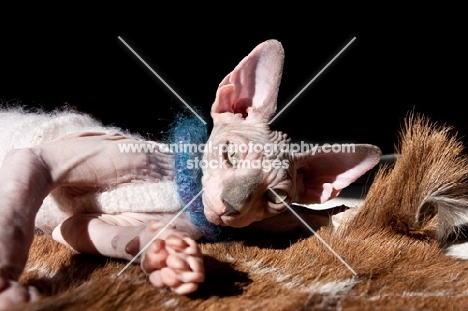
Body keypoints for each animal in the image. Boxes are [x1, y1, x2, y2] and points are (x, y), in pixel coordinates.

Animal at [0, 39, 380, 310]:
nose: (230, 206)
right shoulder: (39, 155)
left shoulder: (77, 226)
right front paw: (8, 287)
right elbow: (15, 220)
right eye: (230, 154)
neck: (181, 191)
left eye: (275, 196)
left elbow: (91, 234)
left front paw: (165, 256)